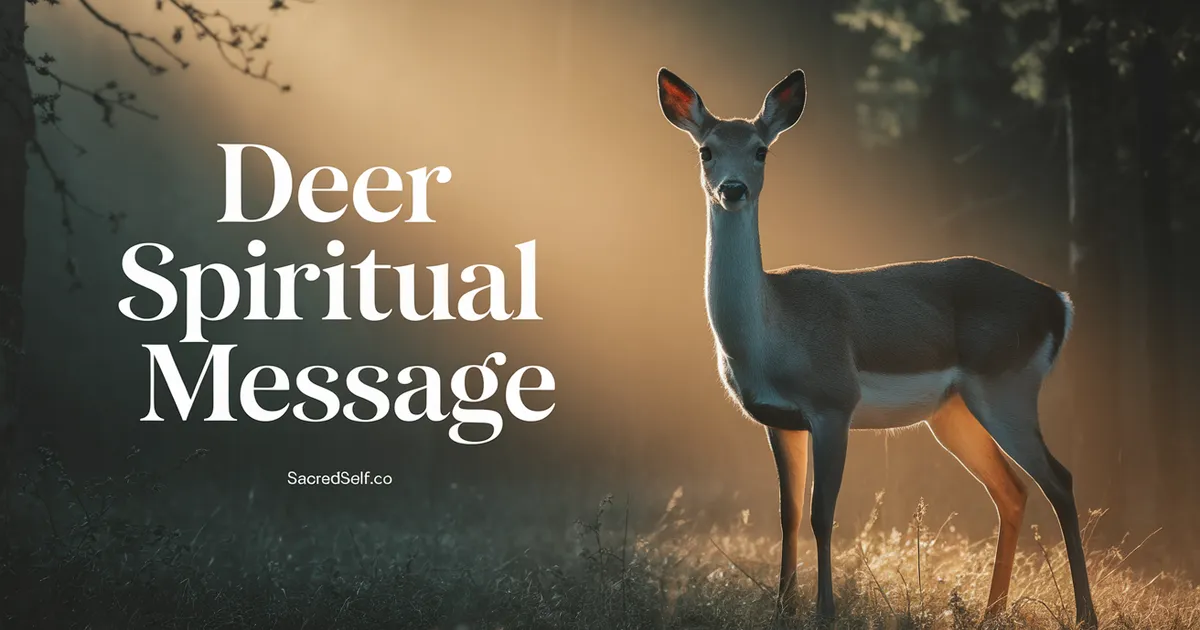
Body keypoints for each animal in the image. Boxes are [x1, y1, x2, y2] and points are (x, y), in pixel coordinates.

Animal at [656, 67, 1098, 628]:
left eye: (760, 150)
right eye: (706, 151)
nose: (732, 189)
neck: (770, 336)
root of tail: (1057, 303)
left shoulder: (833, 403)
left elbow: (822, 513)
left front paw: (824, 610)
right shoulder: (780, 420)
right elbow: (787, 514)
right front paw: (783, 608)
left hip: (1008, 386)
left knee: (1059, 479)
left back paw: (1084, 614)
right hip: (953, 411)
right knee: (1012, 489)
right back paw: (990, 611)